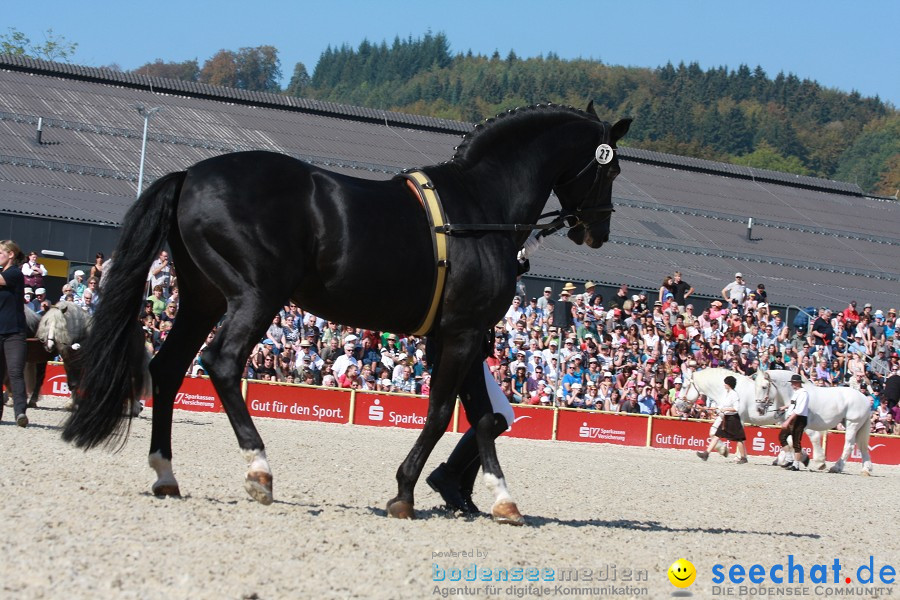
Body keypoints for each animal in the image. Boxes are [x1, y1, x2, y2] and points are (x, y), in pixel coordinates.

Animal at [63, 102, 628, 520]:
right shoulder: (463, 333)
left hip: (203, 301)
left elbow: (482, 417)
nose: (598, 230)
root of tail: (190, 175)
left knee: (168, 369)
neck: (481, 209)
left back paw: (166, 474)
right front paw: (404, 493)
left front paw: (502, 500)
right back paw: (259, 470)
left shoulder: (460, 333)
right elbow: (442, 411)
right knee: (220, 363)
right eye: (613, 166)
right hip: (255, 297)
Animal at [684, 366, 824, 468]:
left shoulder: (737, 417)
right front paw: (725, 452)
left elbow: (738, 437)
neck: (729, 390)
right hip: (785, 420)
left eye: (685, 386)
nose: (680, 405)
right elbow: (714, 431)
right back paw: (792, 459)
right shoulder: (725, 415)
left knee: (813, 437)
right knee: (790, 439)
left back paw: (819, 462)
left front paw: (732, 454)